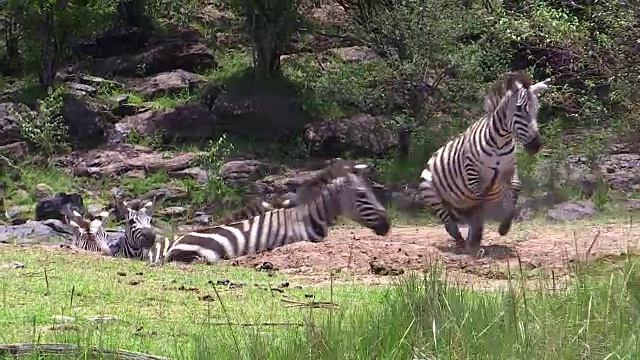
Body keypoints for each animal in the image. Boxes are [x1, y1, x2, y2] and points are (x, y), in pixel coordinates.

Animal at [420, 71, 552, 249]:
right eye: (519, 109)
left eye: (536, 110)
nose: (535, 145)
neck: (500, 141)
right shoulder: (474, 173)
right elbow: (481, 201)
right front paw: (476, 237)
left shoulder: (509, 168)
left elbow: (516, 187)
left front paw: (504, 227)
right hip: (429, 189)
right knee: (447, 219)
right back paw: (462, 240)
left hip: (461, 202)